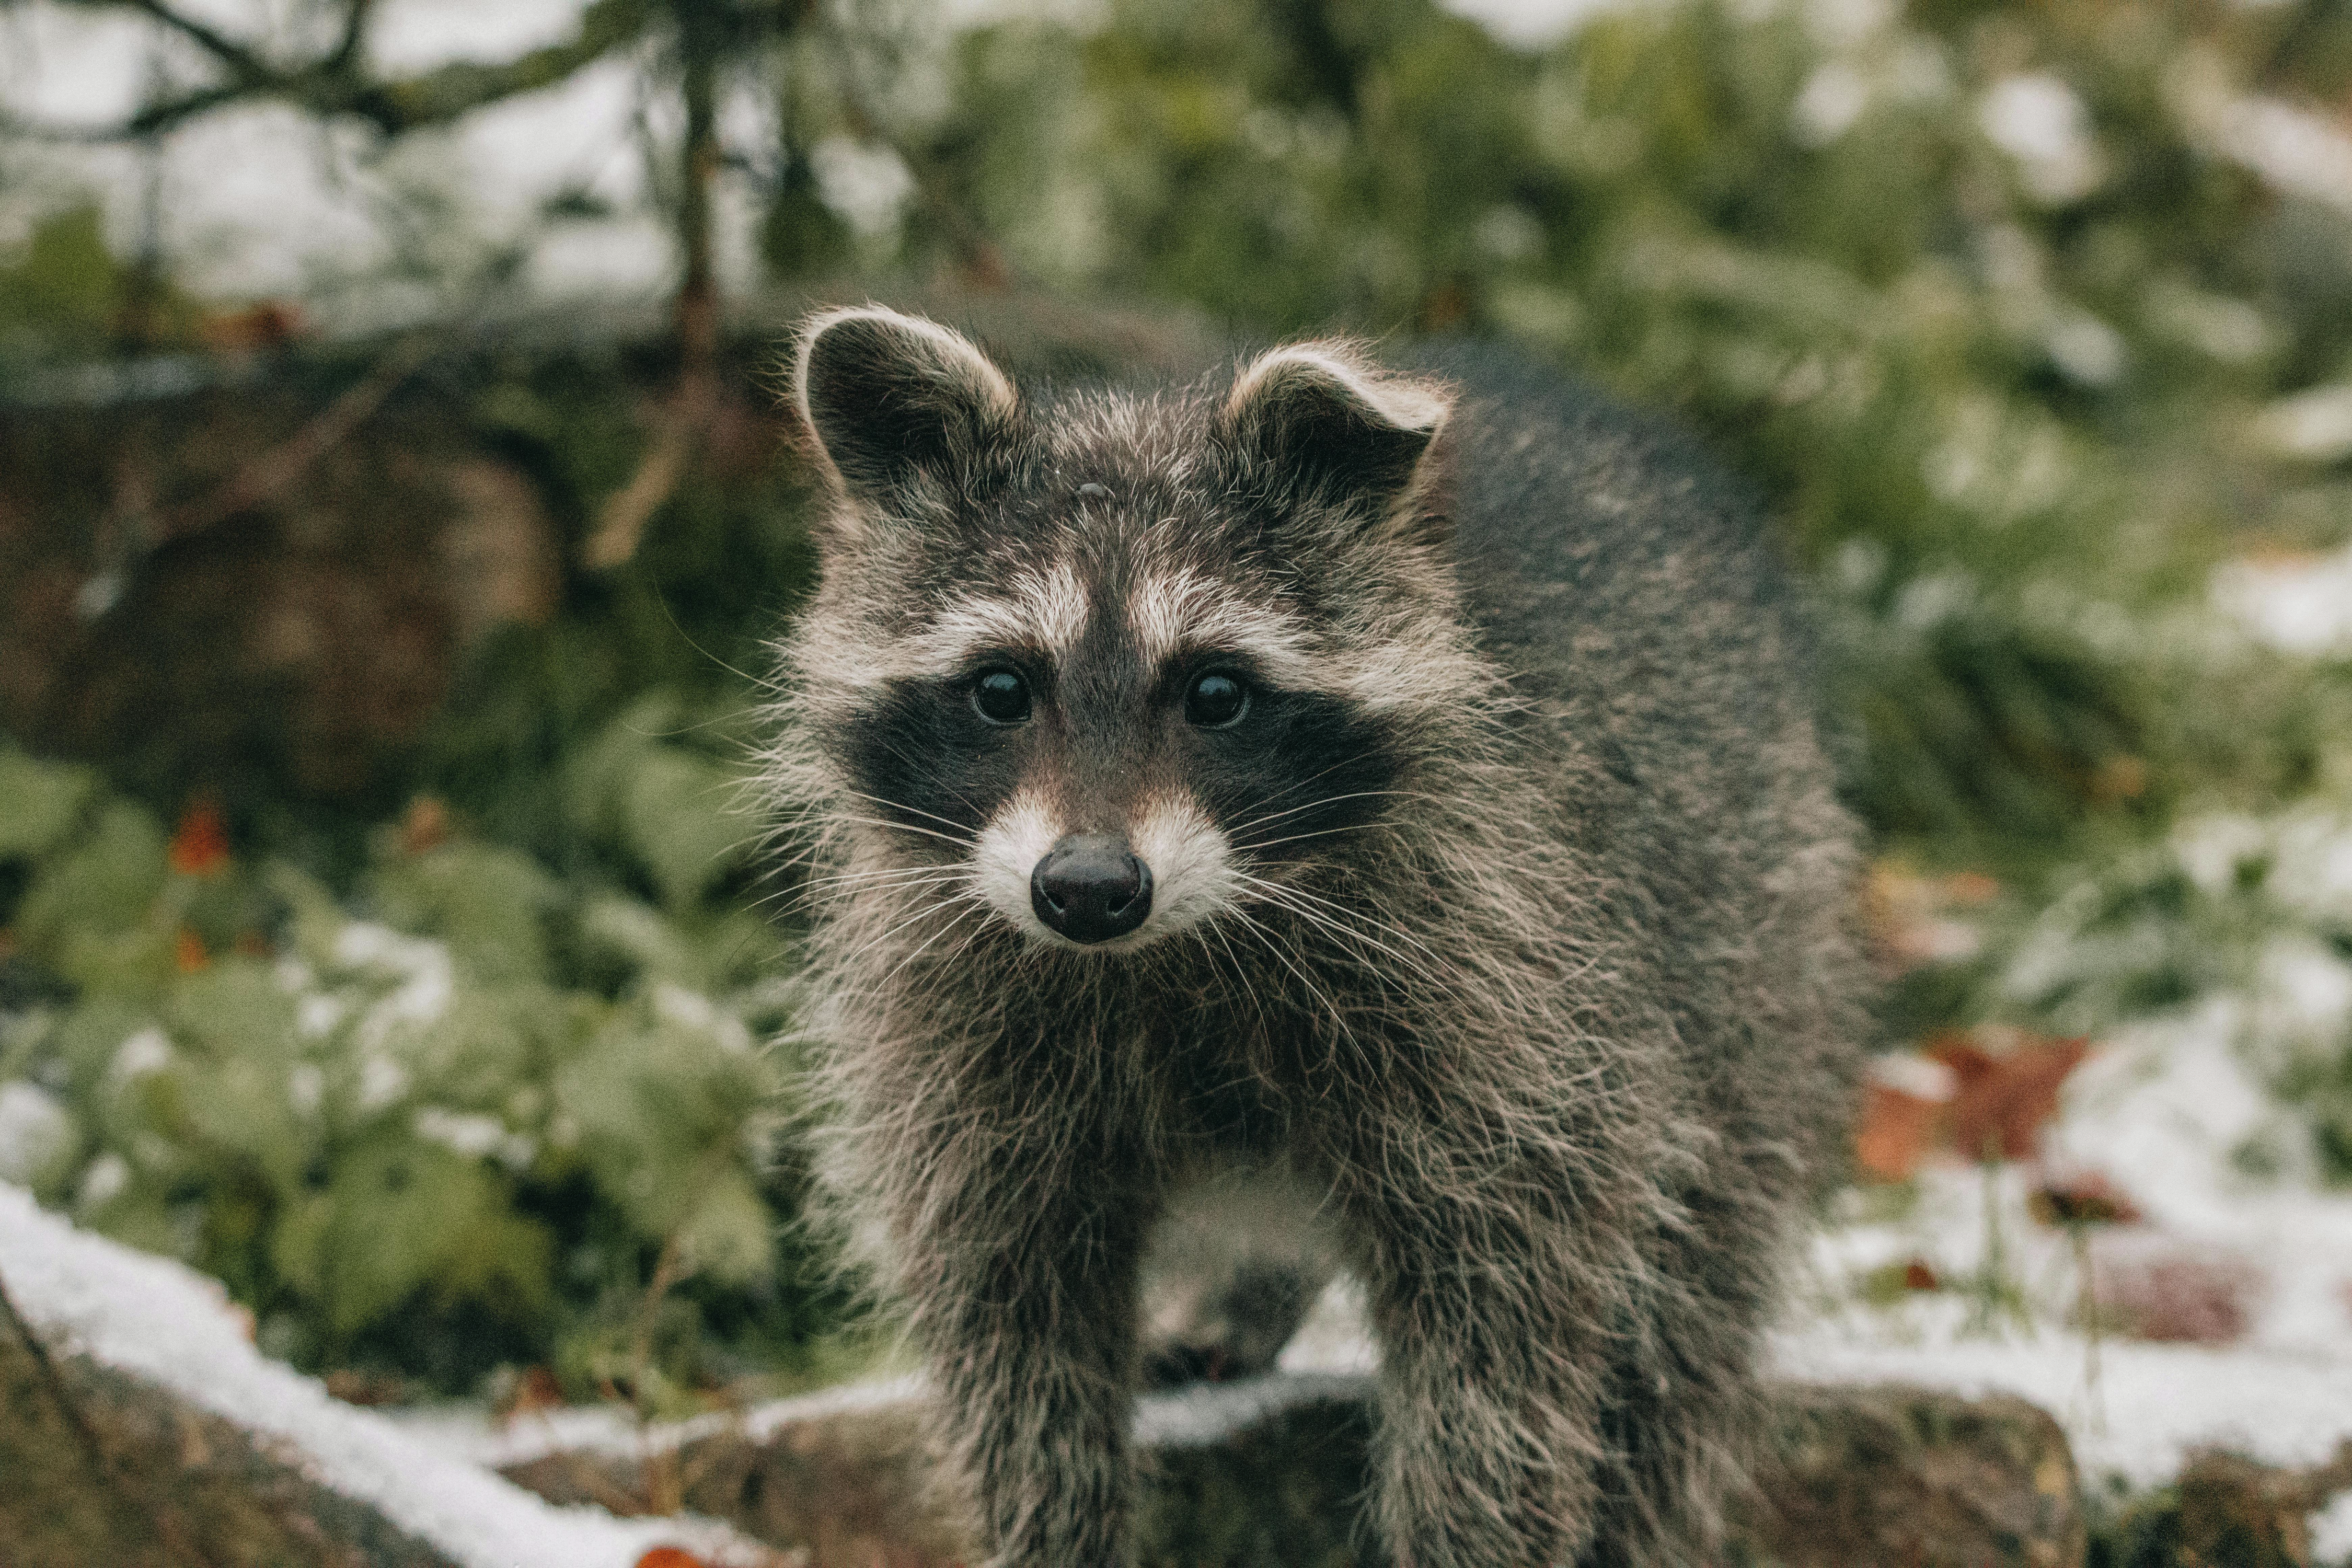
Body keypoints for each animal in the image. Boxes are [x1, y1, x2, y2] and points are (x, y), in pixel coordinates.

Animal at [776, 305, 1872, 1568]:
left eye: (1215, 693)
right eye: (1003, 689)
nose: (1089, 889)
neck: (1167, 951)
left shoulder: (1519, 995)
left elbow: (1502, 1351)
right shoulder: (963, 1058)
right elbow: (1015, 1350)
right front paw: (1050, 1531)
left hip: (1747, 937)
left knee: (1684, 1326)